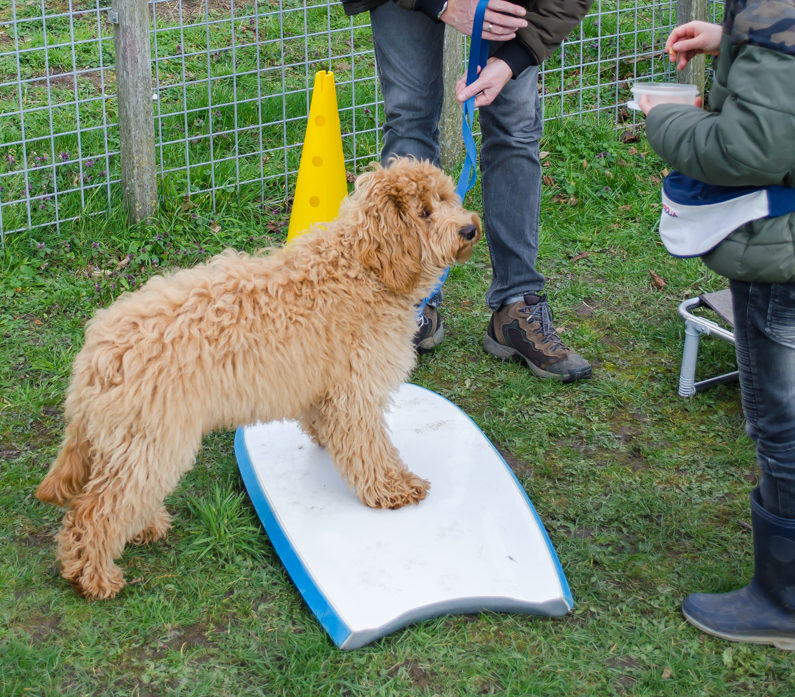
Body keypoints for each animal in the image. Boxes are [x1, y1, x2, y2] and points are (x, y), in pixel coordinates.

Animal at [35, 158, 478, 600]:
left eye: (446, 197)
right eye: (424, 212)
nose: (470, 229)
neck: (363, 267)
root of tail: (96, 353)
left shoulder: (328, 388)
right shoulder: (357, 390)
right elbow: (371, 450)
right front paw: (394, 488)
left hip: (131, 443)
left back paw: (142, 528)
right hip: (152, 441)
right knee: (94, 511)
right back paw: (94, 576)